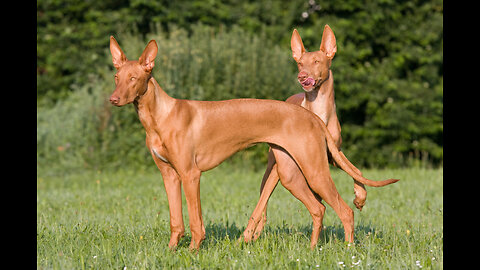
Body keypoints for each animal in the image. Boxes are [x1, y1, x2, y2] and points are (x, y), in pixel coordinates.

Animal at [109, 37, 398, 250]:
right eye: (117, 78)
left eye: (134, 78)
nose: (113, 99)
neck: (160, 116)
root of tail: (312, 117)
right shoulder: (169, 175)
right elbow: (175, 220)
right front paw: (171, 251)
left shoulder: (191, 175)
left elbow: (195, 221)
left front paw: (193, 251)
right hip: (290, 174)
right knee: (318, 208)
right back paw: (312, 249)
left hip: (314, 172)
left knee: (346, 211)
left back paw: (348, 251)